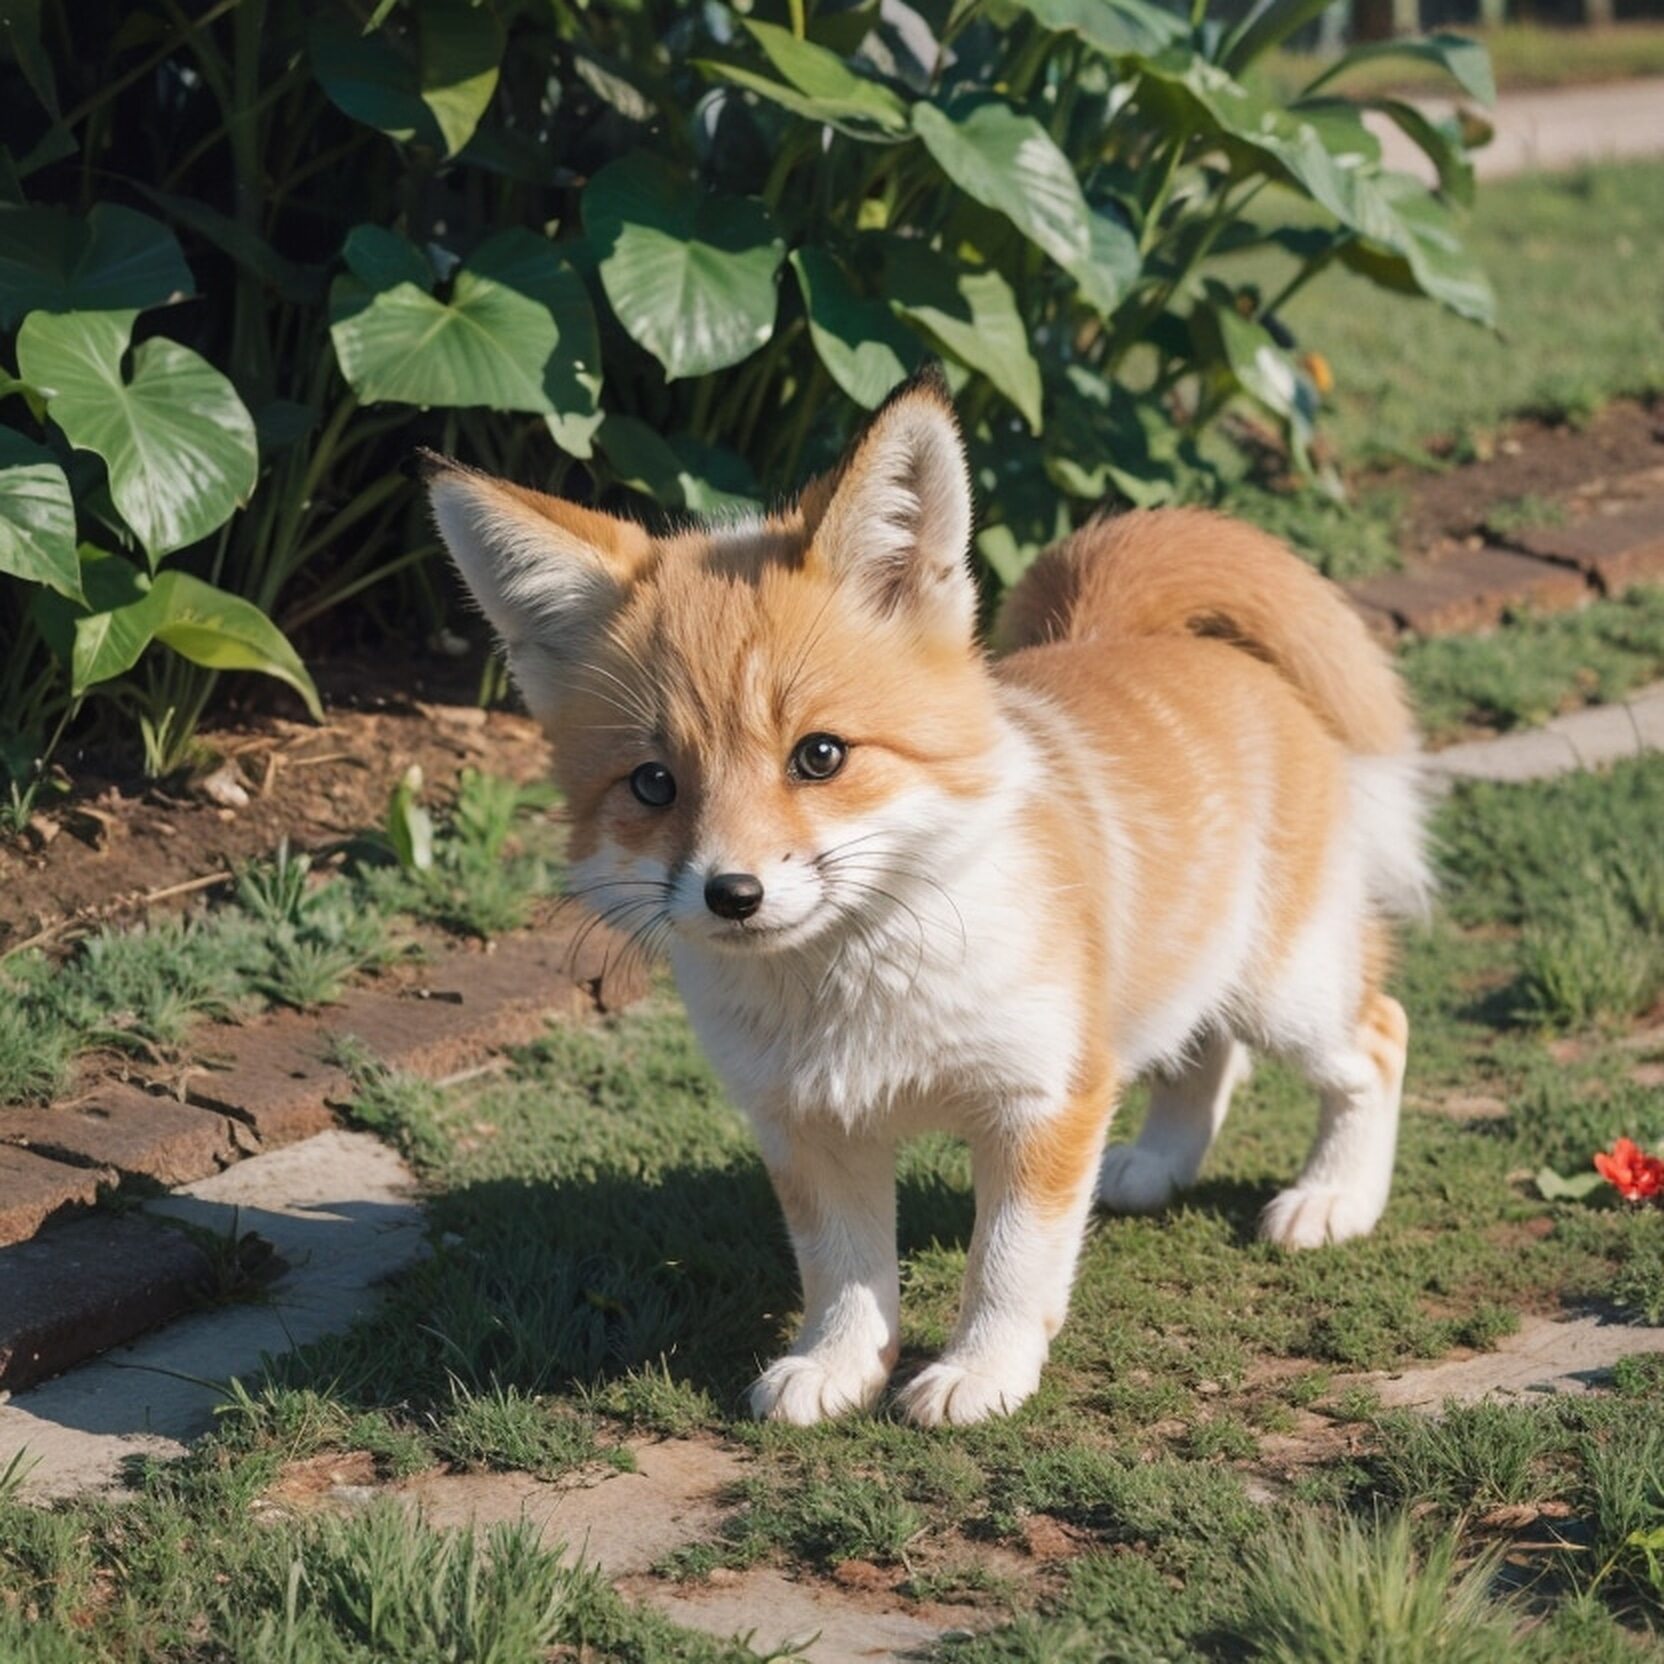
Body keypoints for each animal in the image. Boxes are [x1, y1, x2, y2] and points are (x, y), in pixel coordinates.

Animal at [425, 364, 1431, 1431]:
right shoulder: (807, 1125)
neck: (861, 993)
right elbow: (845, 1272)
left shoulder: (1043, 1098)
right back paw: (1159, 1164)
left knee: (1378, 1038)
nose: (733, 893)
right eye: (654, 784)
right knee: (1205, 1057)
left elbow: (1009, 1265)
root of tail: (1157, 635)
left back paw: (1334, 1200)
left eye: (820, 755)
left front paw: (981, 1374)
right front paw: (836, 1367)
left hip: (1290, 993)